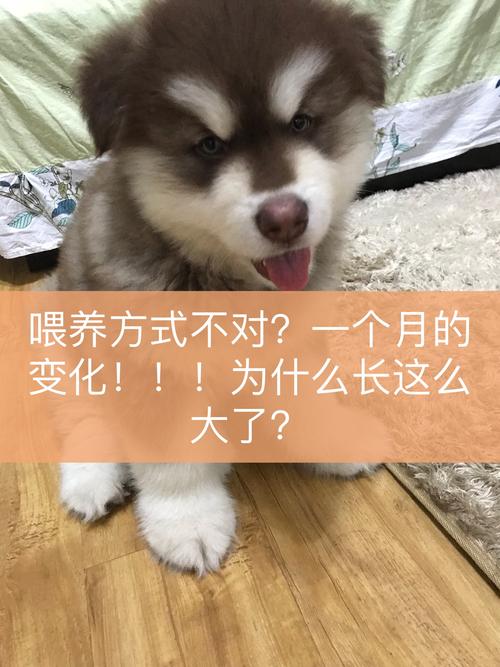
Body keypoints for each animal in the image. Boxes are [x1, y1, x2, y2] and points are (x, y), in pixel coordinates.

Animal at [56, 0, 385, 574]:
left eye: (302, 122)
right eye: (209, 145)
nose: (284, 217)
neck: (230, 282)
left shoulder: (294, 344)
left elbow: (311, 401)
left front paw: (335, 440)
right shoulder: (152, 366)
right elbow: (175, 459)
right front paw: (187, 521)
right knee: (81, 410)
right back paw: (91, 478)